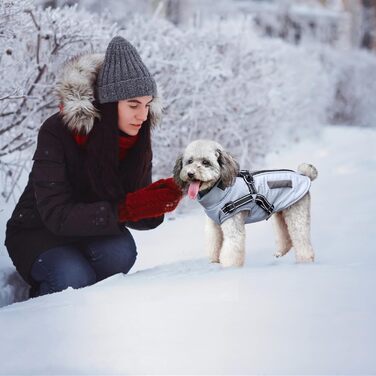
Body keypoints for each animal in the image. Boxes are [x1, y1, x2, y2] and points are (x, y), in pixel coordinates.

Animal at [174, 140, 318, 268]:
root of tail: (304, 175)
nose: (190, 173)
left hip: (296, 213)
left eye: (205, 162)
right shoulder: (214, 226)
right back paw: (280, 252)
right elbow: (213, 243)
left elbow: (231, 249)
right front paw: (214, 262)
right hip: (281, 213)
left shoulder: (233, 225)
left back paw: (305, 261)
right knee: (286, 236)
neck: (220, 189)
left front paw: (229, 268)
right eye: (189, 161)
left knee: (301, 238)